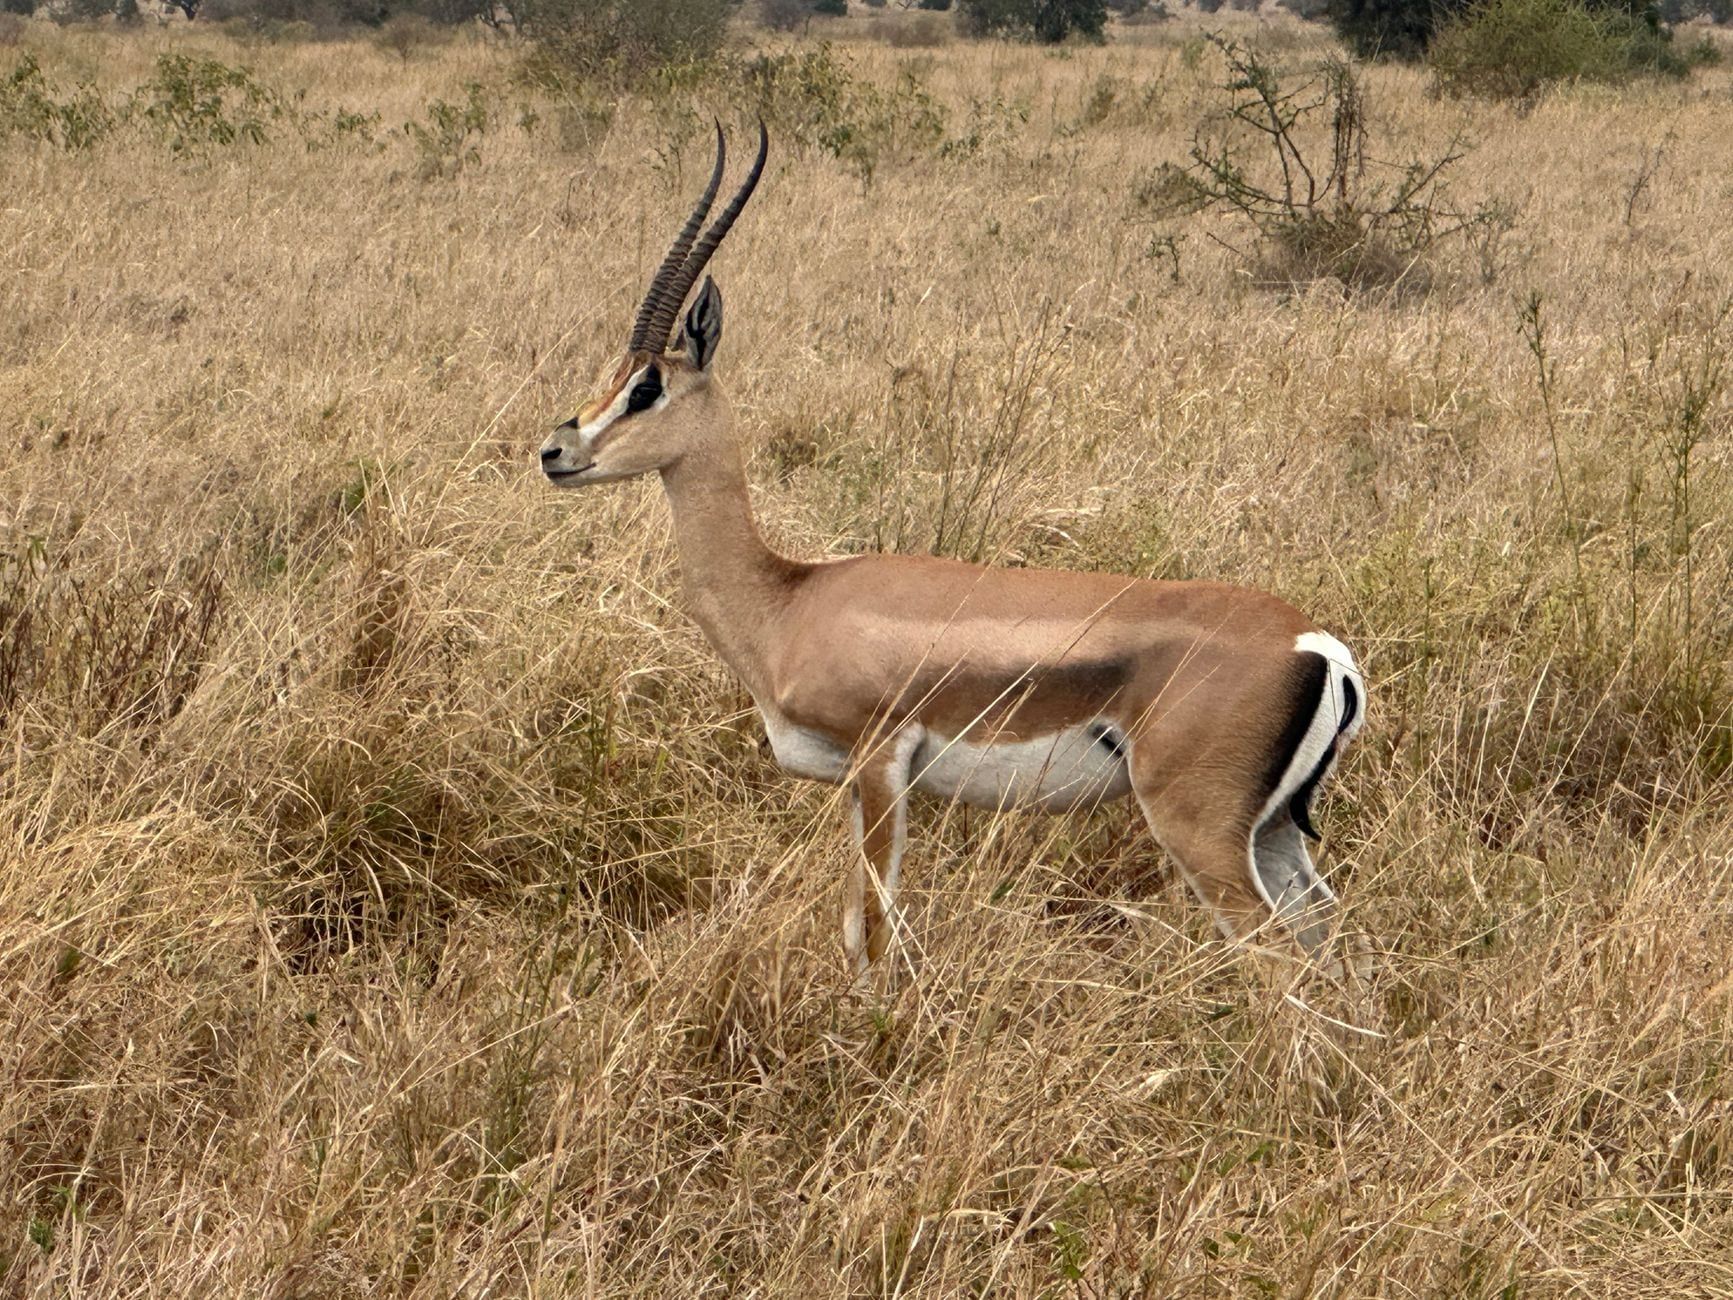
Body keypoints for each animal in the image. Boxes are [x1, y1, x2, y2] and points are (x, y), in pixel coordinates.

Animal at [540, 124, 1367, 977]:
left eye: (646, 387)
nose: (554, 452)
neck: (789, 601)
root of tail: (1318, 649)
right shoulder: (851, 782)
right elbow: (857, 922)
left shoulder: (880, 762)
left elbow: (873, 925)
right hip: (1272, 833)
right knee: (1328, 936)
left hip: (1198, 829)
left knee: (1276, 955)